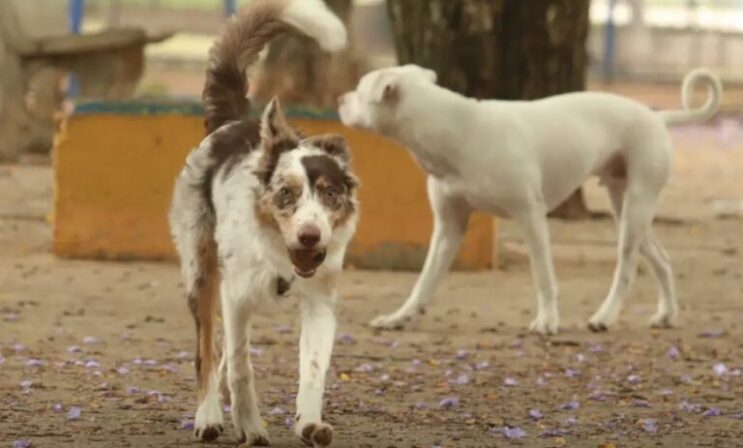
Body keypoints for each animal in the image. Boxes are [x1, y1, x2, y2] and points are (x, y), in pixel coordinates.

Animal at [169, 1, 357, 446]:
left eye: (330, 193)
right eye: (286, 193)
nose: (310, 235)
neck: (281, 257)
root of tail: (235, 120)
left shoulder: (320, 302)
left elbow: (313, 369)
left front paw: (309, 423)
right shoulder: (235, 295)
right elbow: (239, 365)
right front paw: (250, 426)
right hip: (202, 272)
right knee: (207, 352)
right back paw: (209, 415)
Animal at [338, 64, 721, 335]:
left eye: (359, 89)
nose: (341, 99)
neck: (457, 131)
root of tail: (657, 116)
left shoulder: (531, 217)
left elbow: (543, 275)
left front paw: (548, 321)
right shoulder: (449, 228)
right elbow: (424, 280)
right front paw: (399, 317)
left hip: (635, 210)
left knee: (626, 269)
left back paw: (605, 317)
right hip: (625, 207)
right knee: (663, 260)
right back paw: (666, 314)